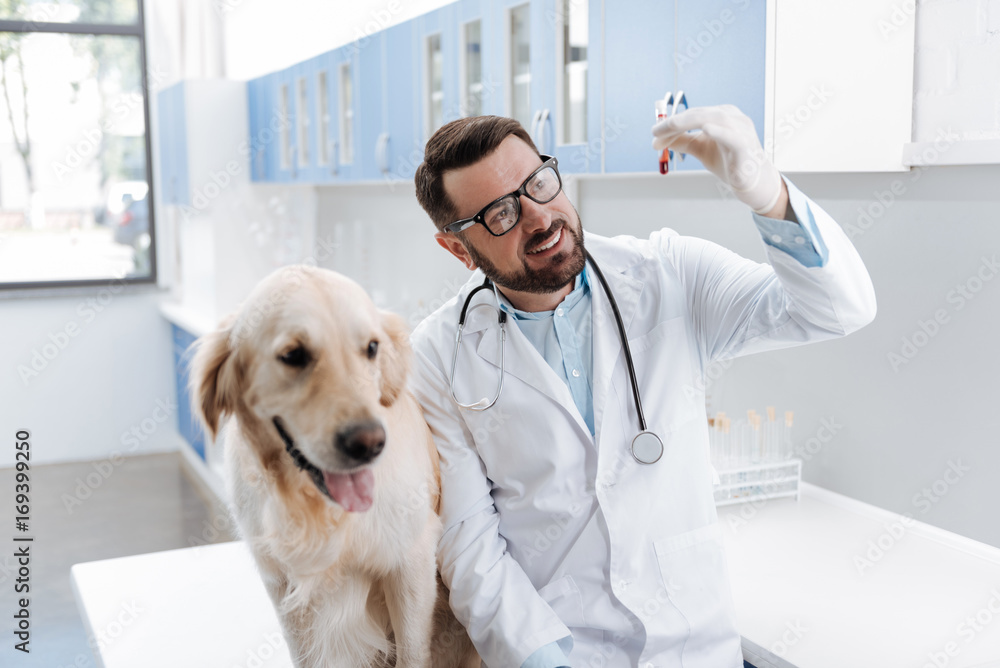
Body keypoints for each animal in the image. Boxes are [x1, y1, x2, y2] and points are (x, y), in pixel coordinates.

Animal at [192, 264, 480, 664]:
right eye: (293, 354)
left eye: (372, 348)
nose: (369, 443)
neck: (322, 512)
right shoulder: (283, 585)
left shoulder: (411, 561)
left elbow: (411, 652)